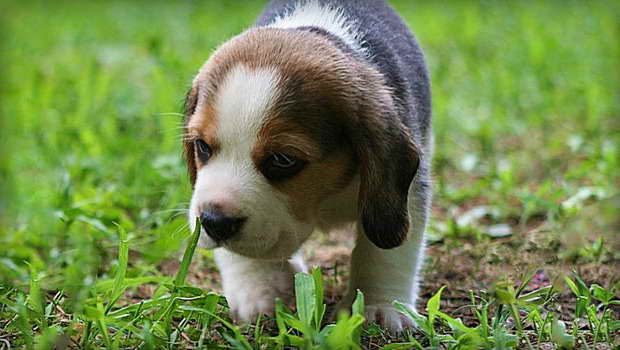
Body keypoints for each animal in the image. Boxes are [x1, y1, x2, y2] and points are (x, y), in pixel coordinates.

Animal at [184, 0, 432, 330]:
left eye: (283, 160)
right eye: (202, 146)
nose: (214, 222)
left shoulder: (407, 191)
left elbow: (385, 253)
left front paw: (380, 306)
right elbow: (241, 254)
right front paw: (257, 291)